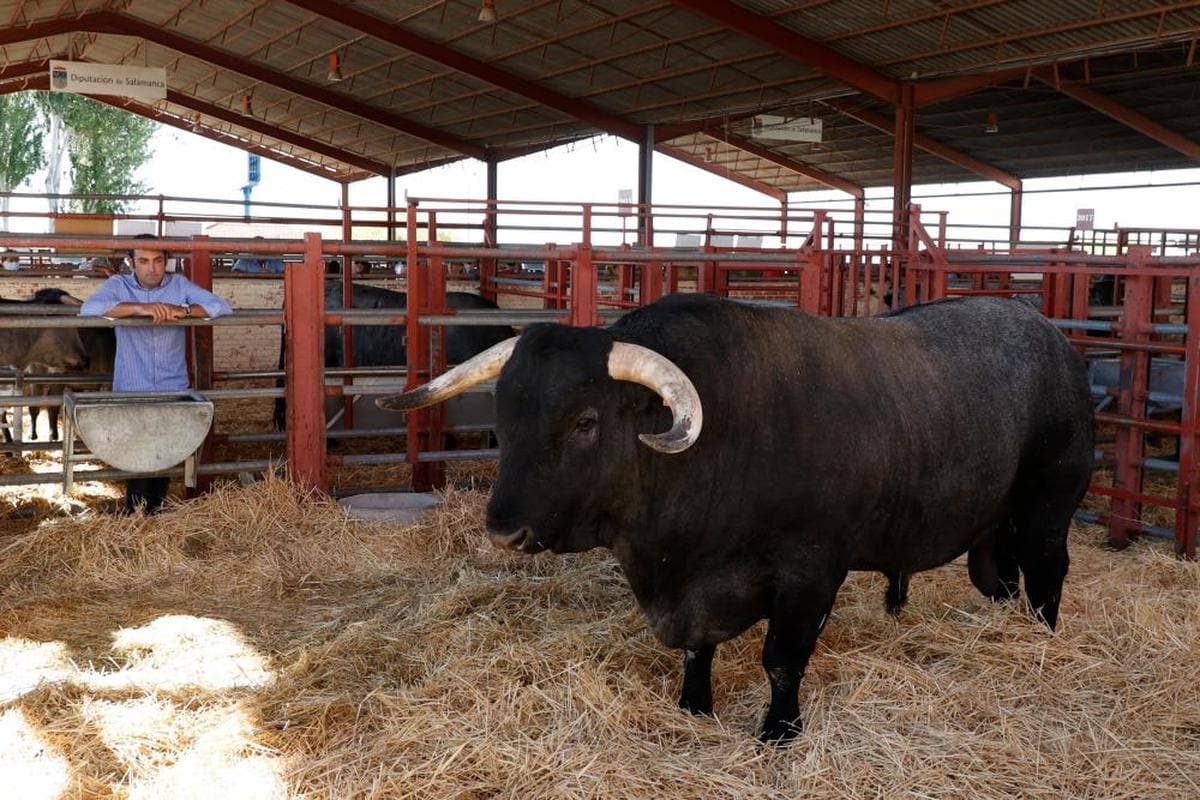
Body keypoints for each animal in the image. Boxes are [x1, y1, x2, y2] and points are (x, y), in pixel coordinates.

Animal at [376, 293, 1099, 743]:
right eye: (504, 414)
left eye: (584, 422)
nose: (504, 530)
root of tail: (1046, 335)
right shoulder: (697, 587)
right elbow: (700, 648)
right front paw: (694, 706)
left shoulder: (810, 574)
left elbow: (782, 659)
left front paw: (779, 732)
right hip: (992, 532)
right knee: (1001, 581)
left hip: (1047, 508)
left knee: (1048, 574)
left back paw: (1041, 643)